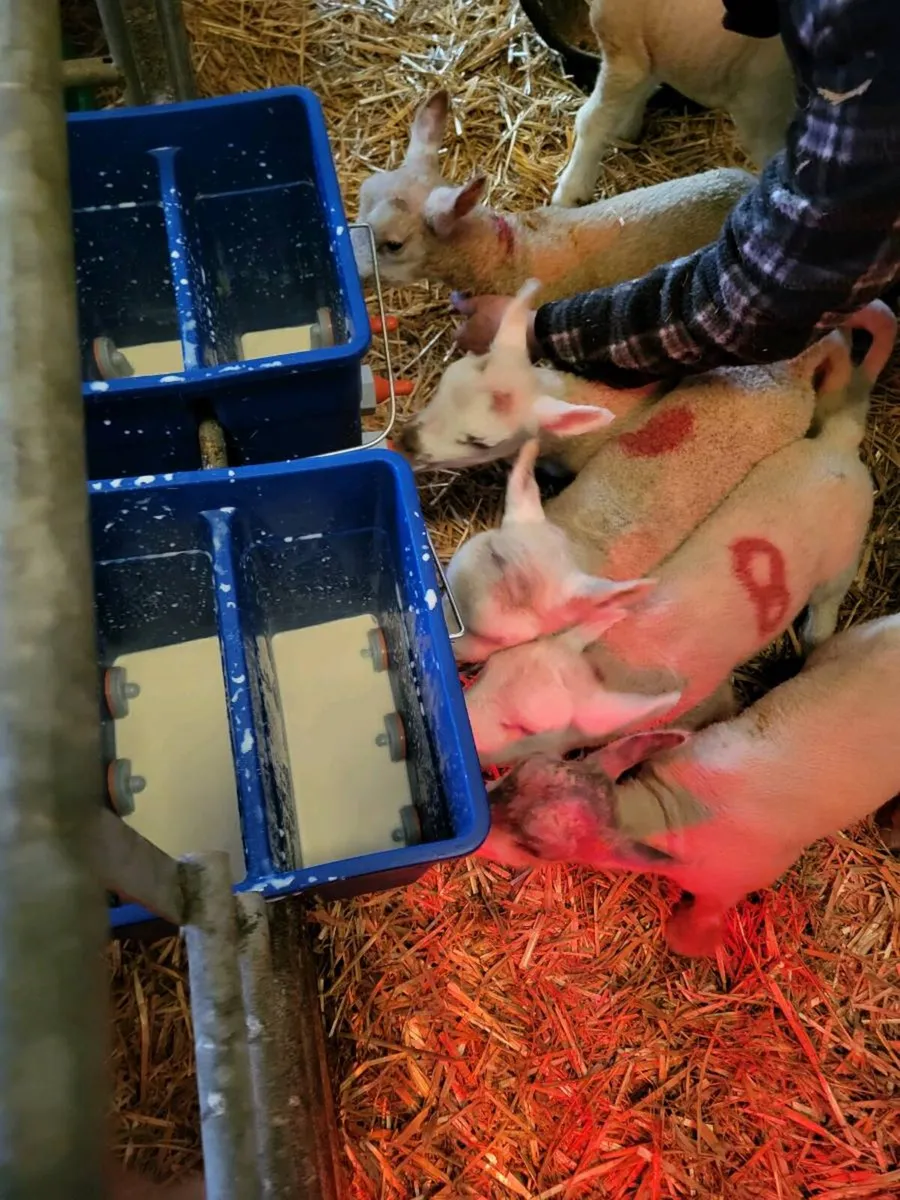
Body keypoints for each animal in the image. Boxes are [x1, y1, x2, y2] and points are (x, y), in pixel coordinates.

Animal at [464, 364, 879, 766]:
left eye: (524, 728)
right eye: (489, 670)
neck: (605, 667)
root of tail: (837, 445)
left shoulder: (704, 699)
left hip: (843, 555)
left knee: (827, 602)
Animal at [475, 612, 900, 957]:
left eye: (534, 847)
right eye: (521, 770)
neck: (671, 807)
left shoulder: (731, 886)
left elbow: (697, 927)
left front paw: (689, 942)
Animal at [553, 0, 794, 207]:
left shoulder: (625, 46)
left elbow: (592, 120)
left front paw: (570, 191)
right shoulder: (652, 46)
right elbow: (644, 88)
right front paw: (627, 130)